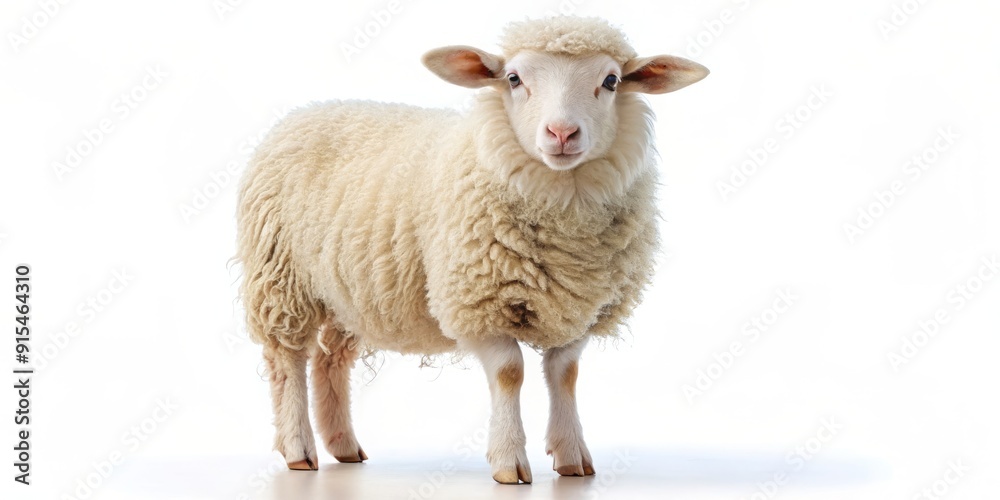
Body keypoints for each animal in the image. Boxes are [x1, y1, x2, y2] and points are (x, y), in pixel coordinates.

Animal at [236, 16, 708, 484]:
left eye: (610, 81)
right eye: (514, 79)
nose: (561, 133)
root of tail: (309, 110)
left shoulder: (581, 308)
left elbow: (566, 375)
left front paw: (572, 456)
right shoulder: (479, 302)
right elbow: (509, 373)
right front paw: (508, 461)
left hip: (347, 293)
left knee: (330, 361)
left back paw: (345, 446)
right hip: (281, 278)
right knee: (287, 360)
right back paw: (299, 448)